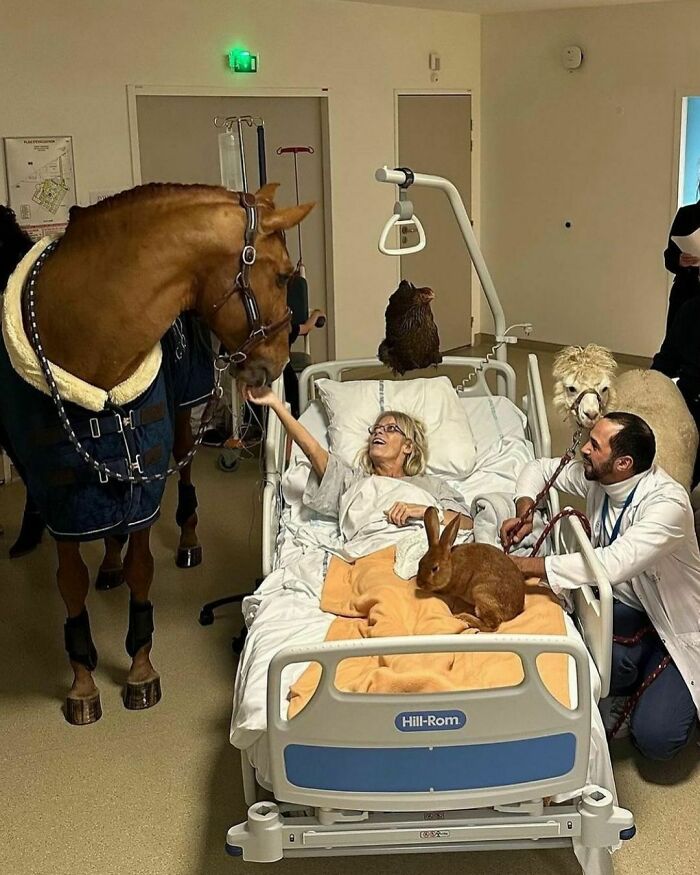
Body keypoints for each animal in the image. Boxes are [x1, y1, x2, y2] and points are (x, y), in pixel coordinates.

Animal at [0, 182, 312, 724]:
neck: (87, 339)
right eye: (279, 276)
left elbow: (142, 568)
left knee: (183, 480)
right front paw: (83, 682)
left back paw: (185, 541)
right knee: (109, 534)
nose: (274, 366)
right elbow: (70, 583)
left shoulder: (144, 474)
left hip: (185, 414)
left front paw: (140, 670)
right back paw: (108, 565)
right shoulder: (60, 495)